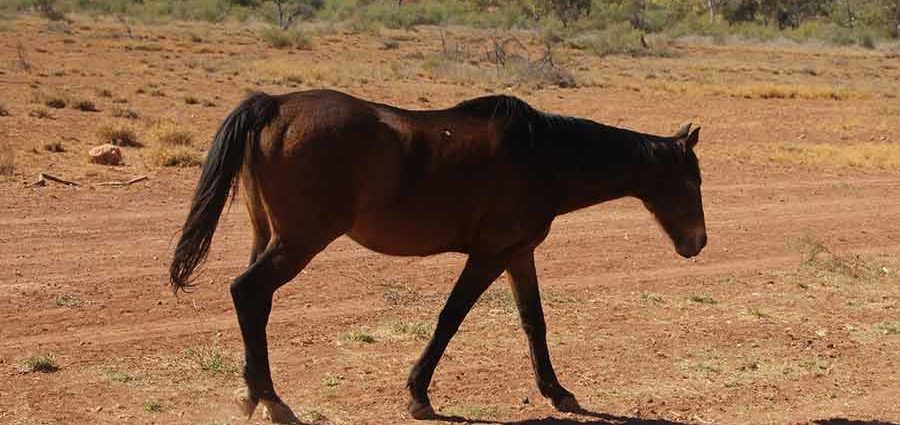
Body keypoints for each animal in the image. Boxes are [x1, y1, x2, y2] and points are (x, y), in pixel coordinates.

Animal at [169, 89, 706, 423]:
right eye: (691, 180)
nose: (697, 242)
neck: (543, 156)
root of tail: (275, 106)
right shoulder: (489, 256)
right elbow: (451, 317)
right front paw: (418, 395)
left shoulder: (518, 255)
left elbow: (534, 322)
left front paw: (559, 392)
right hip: (299, 242)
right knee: (247, 292)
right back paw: (274, 403)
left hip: (268, 237)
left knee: (254, 304)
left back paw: (252, 395)